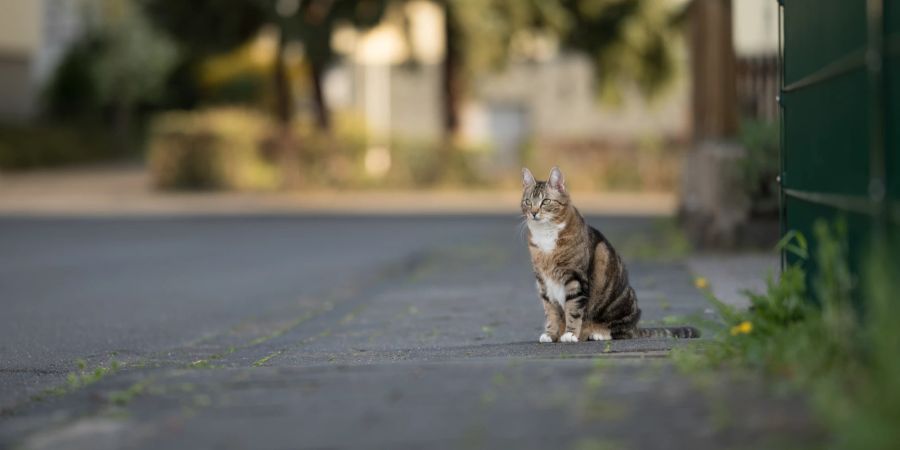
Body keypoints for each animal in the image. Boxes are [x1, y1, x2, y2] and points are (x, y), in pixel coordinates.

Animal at [524, 167, 700, 342]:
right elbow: (551, 311)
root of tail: (636, 327)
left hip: (622, 305)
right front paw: (551, 334)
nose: (533, 212)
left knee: (621, 332)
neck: (545, 235)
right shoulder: (543, 283)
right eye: (528, 202)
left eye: (545, 201)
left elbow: (573, 309)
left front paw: (570, 334)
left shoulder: (576, 279)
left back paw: (597, 333)